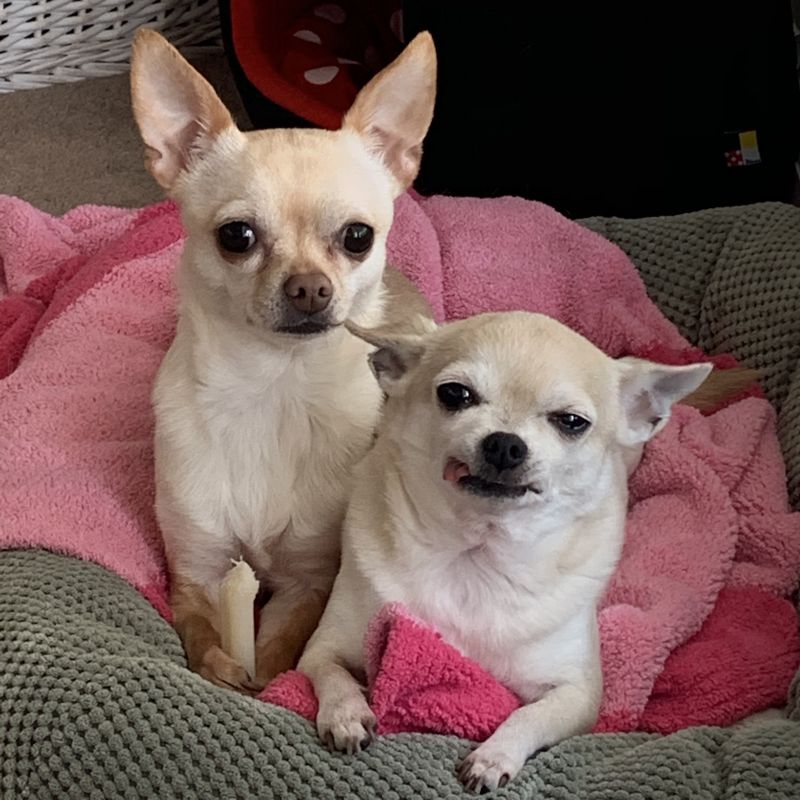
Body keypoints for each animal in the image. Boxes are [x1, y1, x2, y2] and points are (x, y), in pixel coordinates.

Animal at [129, 29, 436, 691]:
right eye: (236, 236)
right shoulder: (196, 572)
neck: (274, 389)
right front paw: (224, 672)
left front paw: (267, 687)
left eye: (357, 237)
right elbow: (201, 637)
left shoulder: (307, 582)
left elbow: (278, 653)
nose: (309, 288)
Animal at [297, 311, 713, 792]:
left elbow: (530, 715)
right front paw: (347, 715)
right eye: (454, 394)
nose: (505, 442)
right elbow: (332, 673)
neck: (481, 552)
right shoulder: (322, 648)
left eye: (572, 422)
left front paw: (494, 757)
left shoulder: (579, 695)